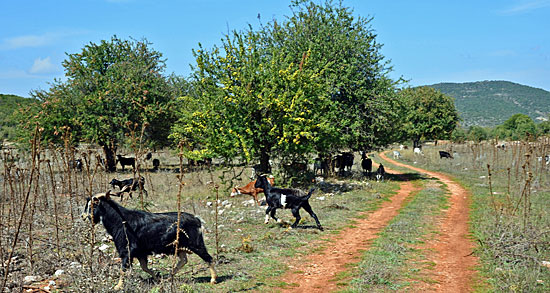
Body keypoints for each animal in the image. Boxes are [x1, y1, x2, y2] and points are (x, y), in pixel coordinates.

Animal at [82, 190, 218, 288]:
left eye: (93, 205)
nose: (83, 216)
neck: (121, 220)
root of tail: (197, 219)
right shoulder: (141, 253)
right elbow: (144, 267)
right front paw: (157, 278)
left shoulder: (127, 250)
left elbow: (123, 269)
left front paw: (117, 287)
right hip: (180, 247)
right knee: (183, 260)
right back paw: (168, 277)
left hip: (196, 244)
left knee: (208, 258)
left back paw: (213, 279)